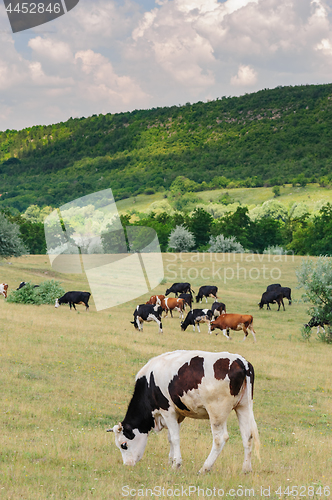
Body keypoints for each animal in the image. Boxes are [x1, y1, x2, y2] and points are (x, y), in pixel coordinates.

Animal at [107, 350, 260, 474]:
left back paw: (204, 468)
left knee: (220, 439)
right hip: (243, 407)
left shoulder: (167, 411)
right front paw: (171, 461)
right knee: (247, 436)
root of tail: (241, 362)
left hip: (217, 412)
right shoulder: (178, 414)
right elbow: (170, 438)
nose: (127, 465)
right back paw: (246, 469)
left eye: (123, 445)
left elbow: (175, 438)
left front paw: (176, 465)